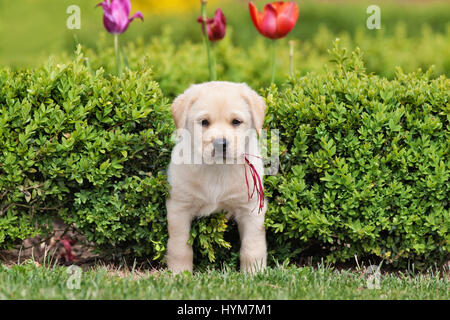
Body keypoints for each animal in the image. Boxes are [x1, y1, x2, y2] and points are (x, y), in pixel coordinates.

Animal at [166, 81, 268, 274]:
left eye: (236, 122)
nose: (220, 143)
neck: (217, 169)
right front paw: (179, 274)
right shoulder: (179, 206)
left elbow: (252, 247)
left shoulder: (251, 209)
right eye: (204, 122)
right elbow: (179, 247)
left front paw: (254, 274)